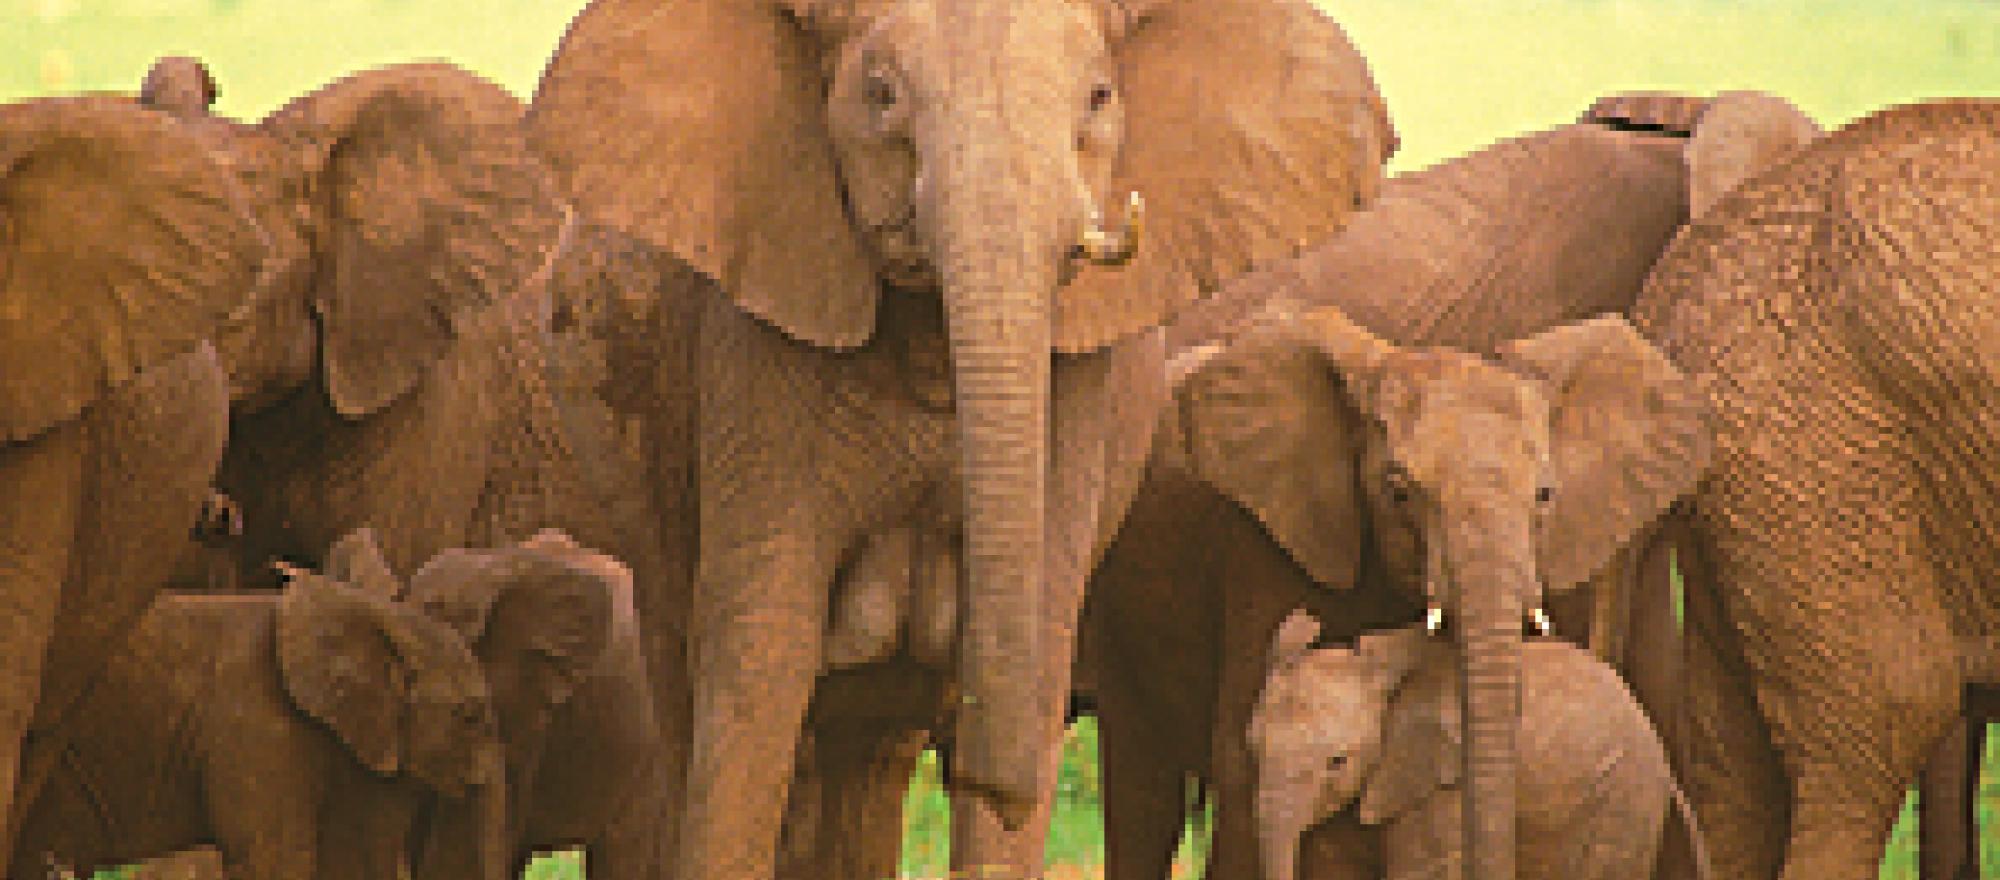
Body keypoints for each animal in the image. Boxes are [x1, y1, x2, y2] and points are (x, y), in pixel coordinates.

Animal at [525, 0, 1399, 875]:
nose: (995, 779)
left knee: (873, 754)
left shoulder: (1075, 393)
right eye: (880, 94)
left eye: (1100, 96)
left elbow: (1033, 643)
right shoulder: (756, 346)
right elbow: (759, 666)